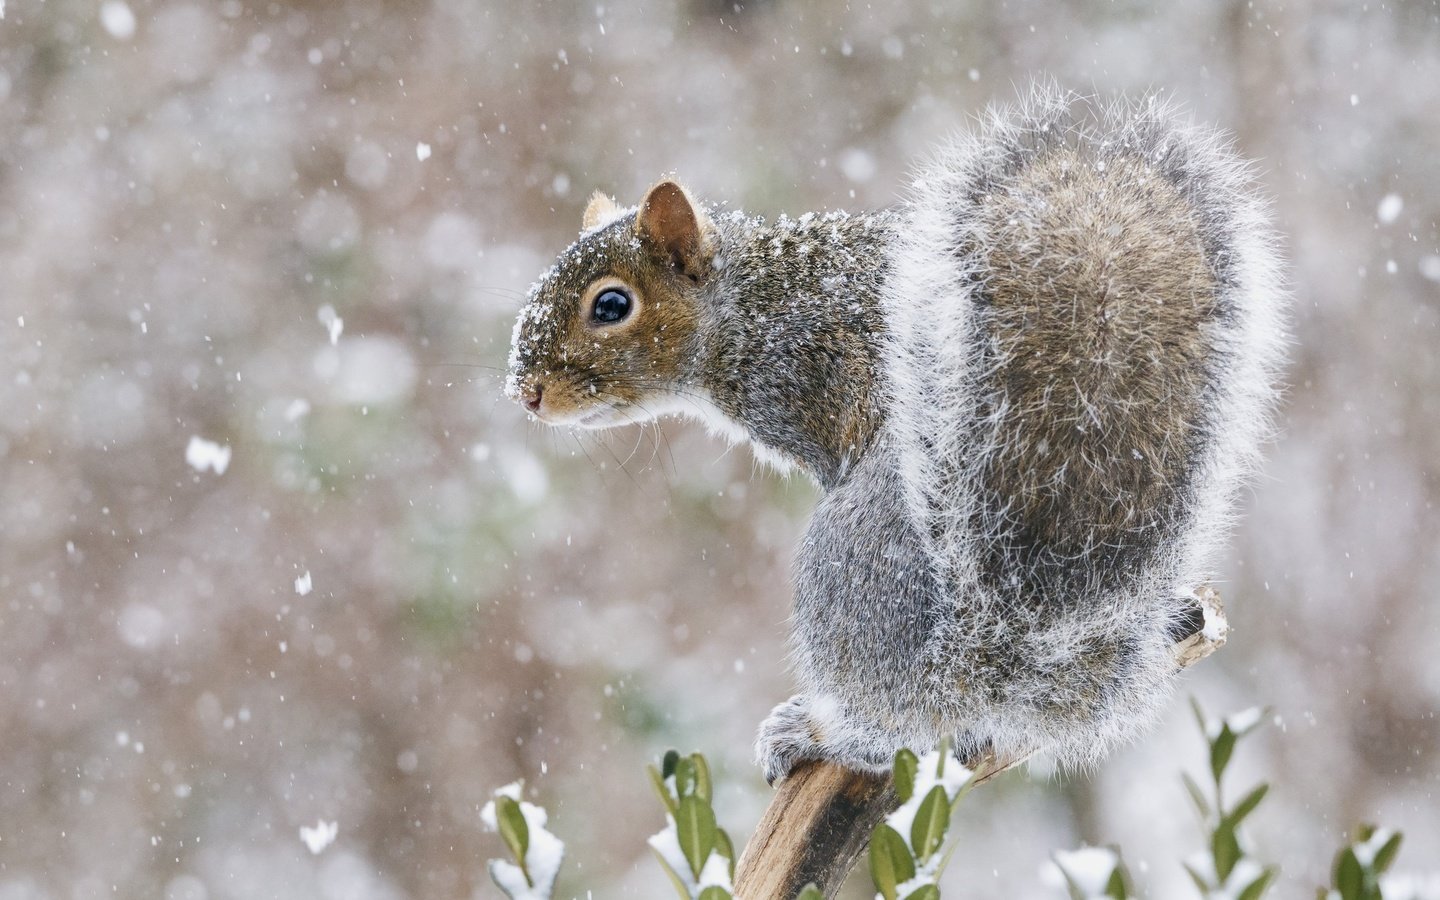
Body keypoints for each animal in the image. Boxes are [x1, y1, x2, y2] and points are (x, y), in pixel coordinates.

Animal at [504, 86, 1284, 783]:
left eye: (612, 305)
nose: (525, 393)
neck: (750, 306)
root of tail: (995, 660)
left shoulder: (809, 376)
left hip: (849, 555)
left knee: (900, 726)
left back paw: (818, 732)